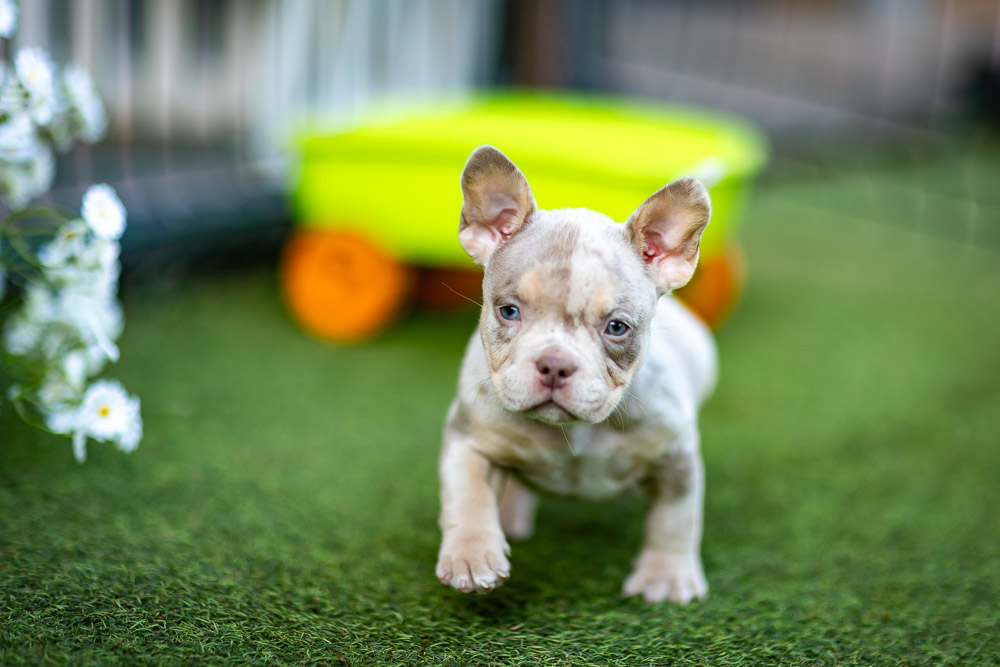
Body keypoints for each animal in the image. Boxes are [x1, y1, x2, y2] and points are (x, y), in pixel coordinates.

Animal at [435, 146, 717, 604]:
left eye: (617, 327)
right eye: (508, 311)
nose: (555, 363)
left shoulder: (676, 459)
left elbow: (675, 520)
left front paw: (666, 576)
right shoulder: (468, 437)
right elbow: (467, 493)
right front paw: (471, 556)